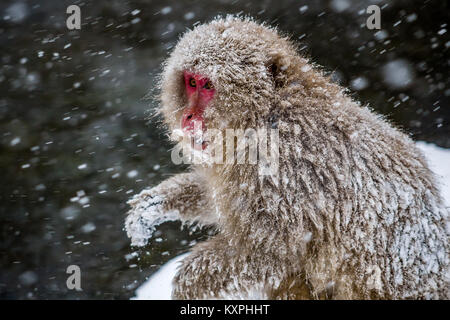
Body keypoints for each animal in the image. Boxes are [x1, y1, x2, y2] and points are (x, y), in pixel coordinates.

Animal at [125, 16, 448, 298]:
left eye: (207, 85)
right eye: (191, 82)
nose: (188, 117)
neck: (268, 113)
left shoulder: (282, 171)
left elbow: (268, 255)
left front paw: (185, 286)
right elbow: (222, 200)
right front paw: (154, 204)